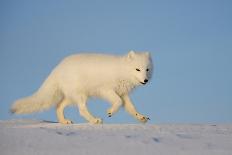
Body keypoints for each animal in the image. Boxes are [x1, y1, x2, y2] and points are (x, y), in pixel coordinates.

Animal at [11, 51, 152, 124]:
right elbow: (118, 102)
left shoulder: (123, 93)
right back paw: (94, 120)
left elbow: (131, 108)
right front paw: (110, 112)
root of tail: (58, 68)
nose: (145, 80)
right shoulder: (106, 90)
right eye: (137, 69)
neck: (121, 70)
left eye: (147, 69)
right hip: (80, 95)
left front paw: (141, 117)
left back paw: (64, 121)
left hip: (71, 97)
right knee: (81, 110)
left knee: (58, 106)